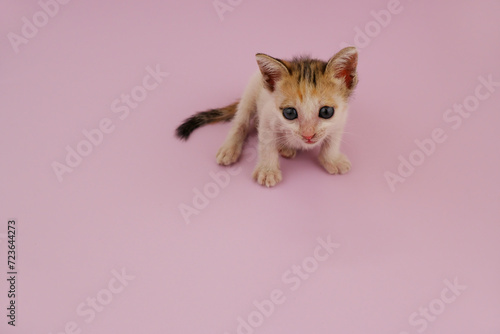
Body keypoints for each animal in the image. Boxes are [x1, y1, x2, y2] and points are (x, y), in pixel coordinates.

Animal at [177, 46, 360, 188]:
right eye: (290, 113)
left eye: (326, 112)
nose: (308, 135)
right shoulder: (266, 117)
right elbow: (266, 145)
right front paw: (267, 171)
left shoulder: (341, 118)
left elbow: (332, 141)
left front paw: (332, 159)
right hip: (250, 93)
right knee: (240, 122)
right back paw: (230, 148)